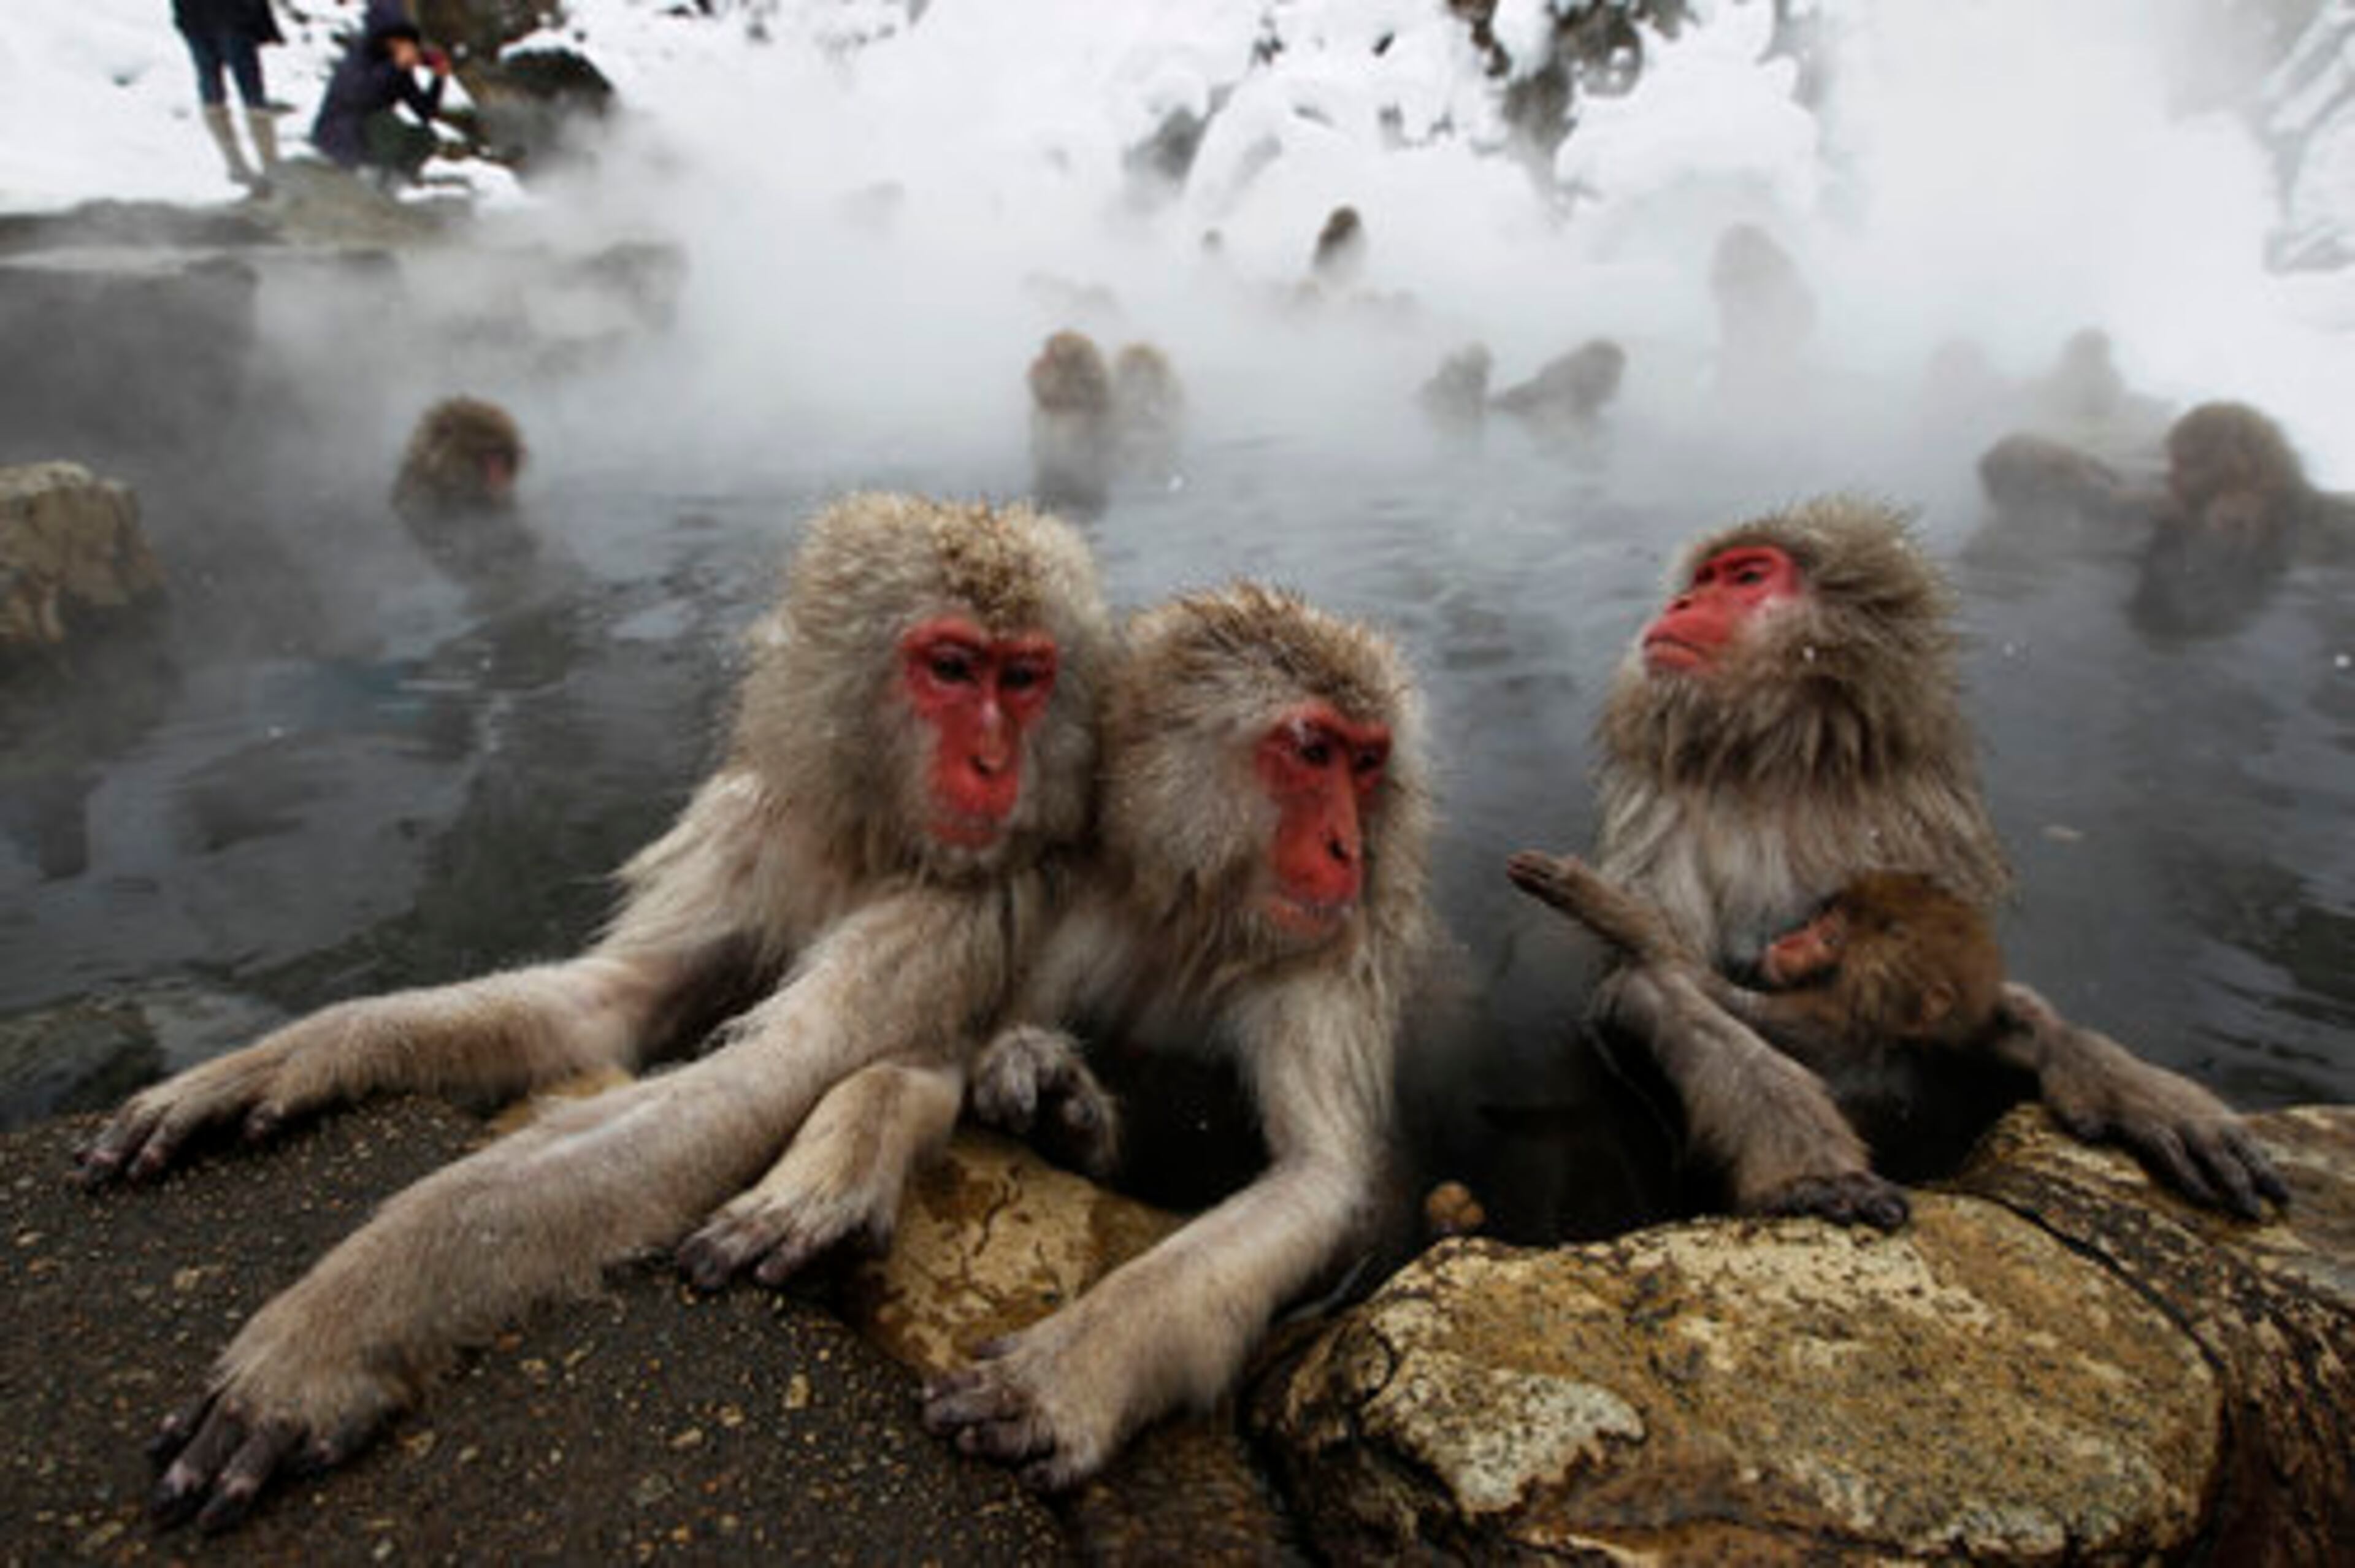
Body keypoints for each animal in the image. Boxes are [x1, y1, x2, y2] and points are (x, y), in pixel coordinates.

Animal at [77, 493, 1115, 1530]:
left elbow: (762, 1073)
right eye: (953, 668)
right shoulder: (752, 835)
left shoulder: (970, 900)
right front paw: (293, 1054)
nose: (993, 761)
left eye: (1025, 676)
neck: (872, 835)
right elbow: (606, 1004)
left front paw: (338, 1326)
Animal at [919, 583, 1436, 1491]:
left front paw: (1073, 1368)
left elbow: (1322, 1180)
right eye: (1313, 751)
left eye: (1368, 762)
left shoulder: (1335, 962)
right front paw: (1054, 1097)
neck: (1207, 918)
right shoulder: (1089, 907)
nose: (1348, 847)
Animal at [1027, 328, 1116, 519]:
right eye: (1045, 353)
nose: (1037, 361)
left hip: (1087, 470)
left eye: (1051, 356)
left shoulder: (1086, 384)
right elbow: (1047, 399)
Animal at [1515, 497, 2286, 1229]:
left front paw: (2130, 1084)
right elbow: (1654, 987)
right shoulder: (1663, 815)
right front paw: (1806, 1167)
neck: (1782, 764)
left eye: (1746, 576)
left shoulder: (1913, 816)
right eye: (1704, 579)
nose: (1680, 604)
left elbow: (1961, 996)